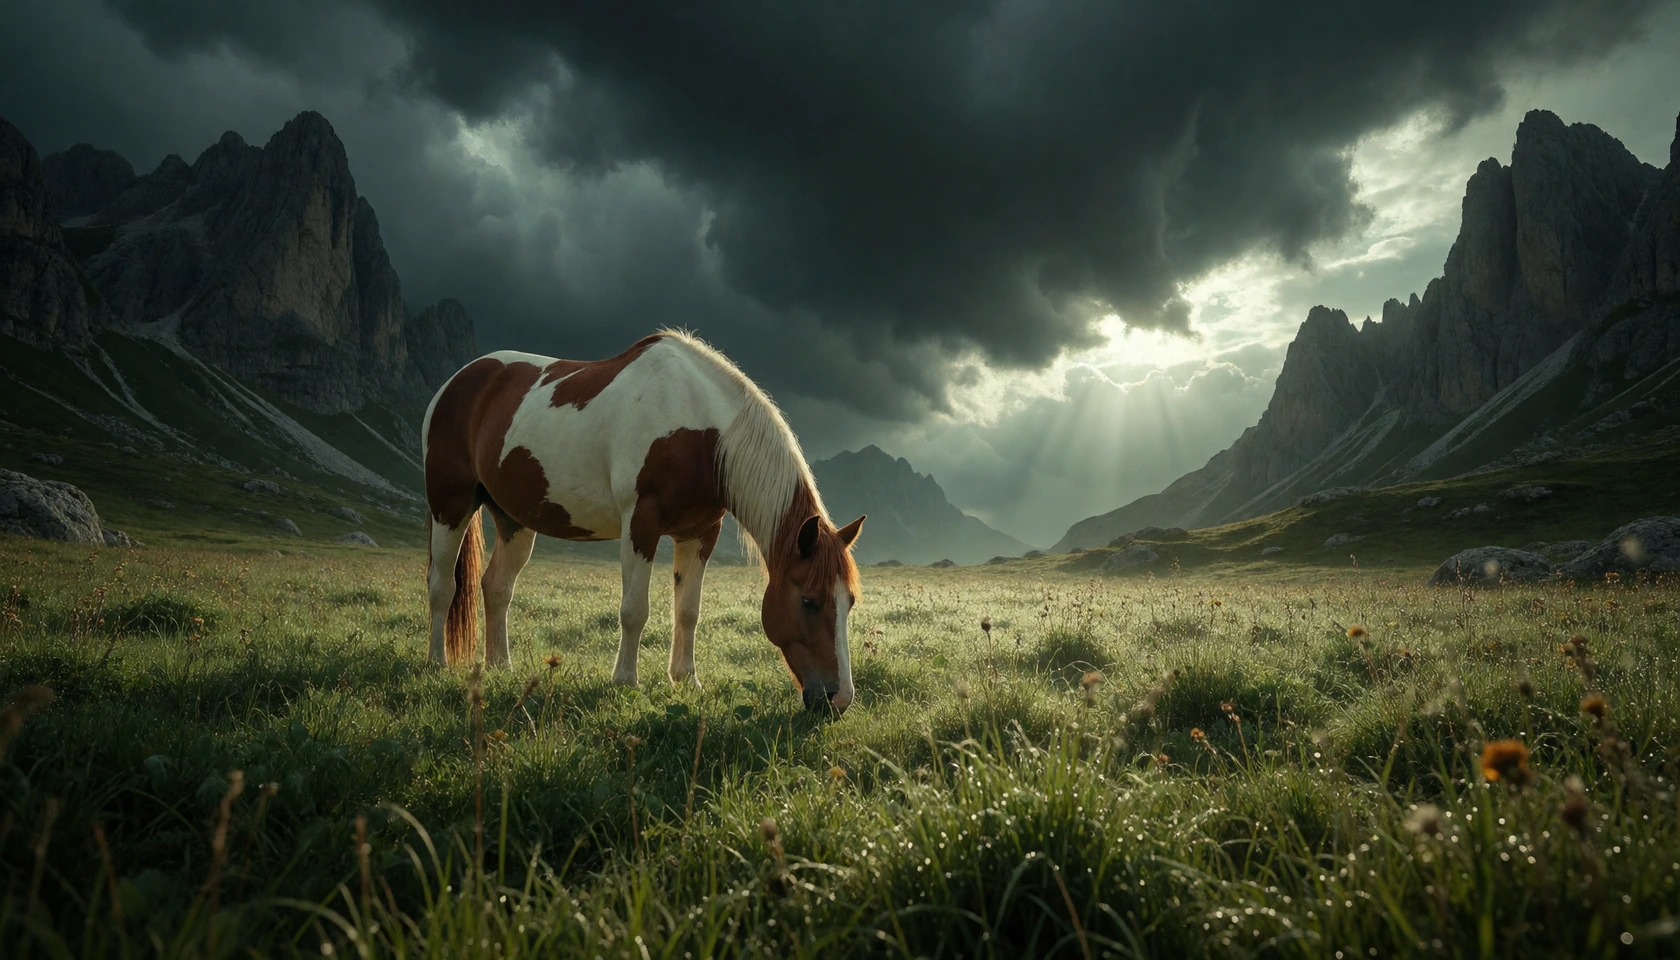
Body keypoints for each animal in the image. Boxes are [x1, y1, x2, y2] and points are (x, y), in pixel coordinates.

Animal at [420, 329, 866, 713]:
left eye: (850, 601)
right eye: (809, 601)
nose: (839, 699)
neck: (701, 431)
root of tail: (456, 382)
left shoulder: (699, 533)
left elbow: (688, 610)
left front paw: (686, 679)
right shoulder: (641, 523)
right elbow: (635, 609)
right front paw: (625, 681)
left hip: (514, 520)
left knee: (497, 587)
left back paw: (502, 667)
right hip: (450, 504)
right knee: (443, 586)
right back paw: (437, 663)